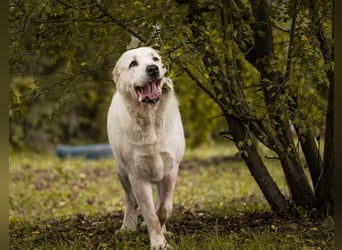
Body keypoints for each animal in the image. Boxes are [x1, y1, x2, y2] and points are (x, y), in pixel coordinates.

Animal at [108, 47, 186, 250]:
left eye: (155, 59)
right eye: (133, 63)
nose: (152, 69)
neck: (151, 120)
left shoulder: (170, 169)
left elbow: (165, 208)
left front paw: (157, 231)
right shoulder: (137, 176)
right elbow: (150, 213)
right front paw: (158, 242)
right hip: (122, 173)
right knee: (130, 201)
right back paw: (127, 227)